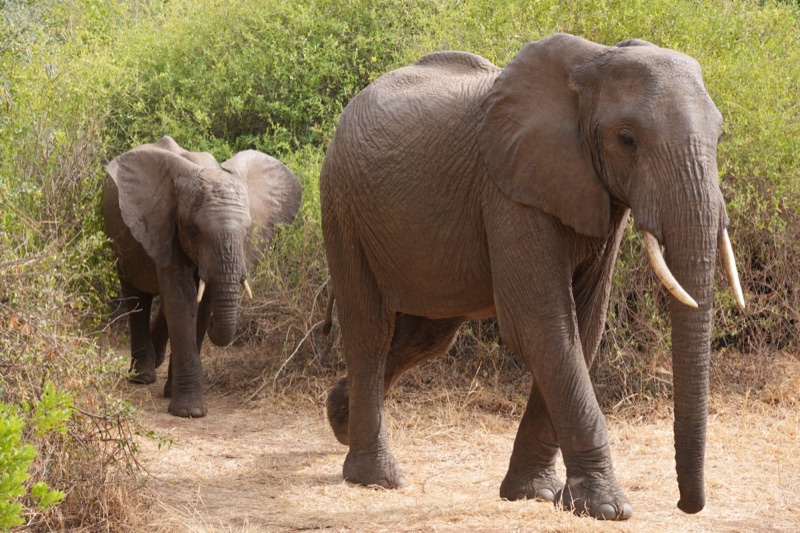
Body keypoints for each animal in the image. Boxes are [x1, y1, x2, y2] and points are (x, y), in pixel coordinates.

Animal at [103, 136, 301, 417]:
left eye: (246, 231)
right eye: (194, 231)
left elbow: (201, 302)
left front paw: (174, 396)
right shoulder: (166, 225)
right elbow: (182, 299)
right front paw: (190, 412)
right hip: (119, 236)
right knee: (136, 296)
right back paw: (142, 377)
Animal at [319, 33, 745, 520]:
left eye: (719, 136)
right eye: (626, 139)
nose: (687, 506)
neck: (594, 62)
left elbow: (583, 327)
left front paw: (535, 493)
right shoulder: (509, 191)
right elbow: (542, 326)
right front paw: (606, 508)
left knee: (425, 337)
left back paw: (339, 418)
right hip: (341, 204)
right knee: (369, 330)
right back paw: (377, 478)